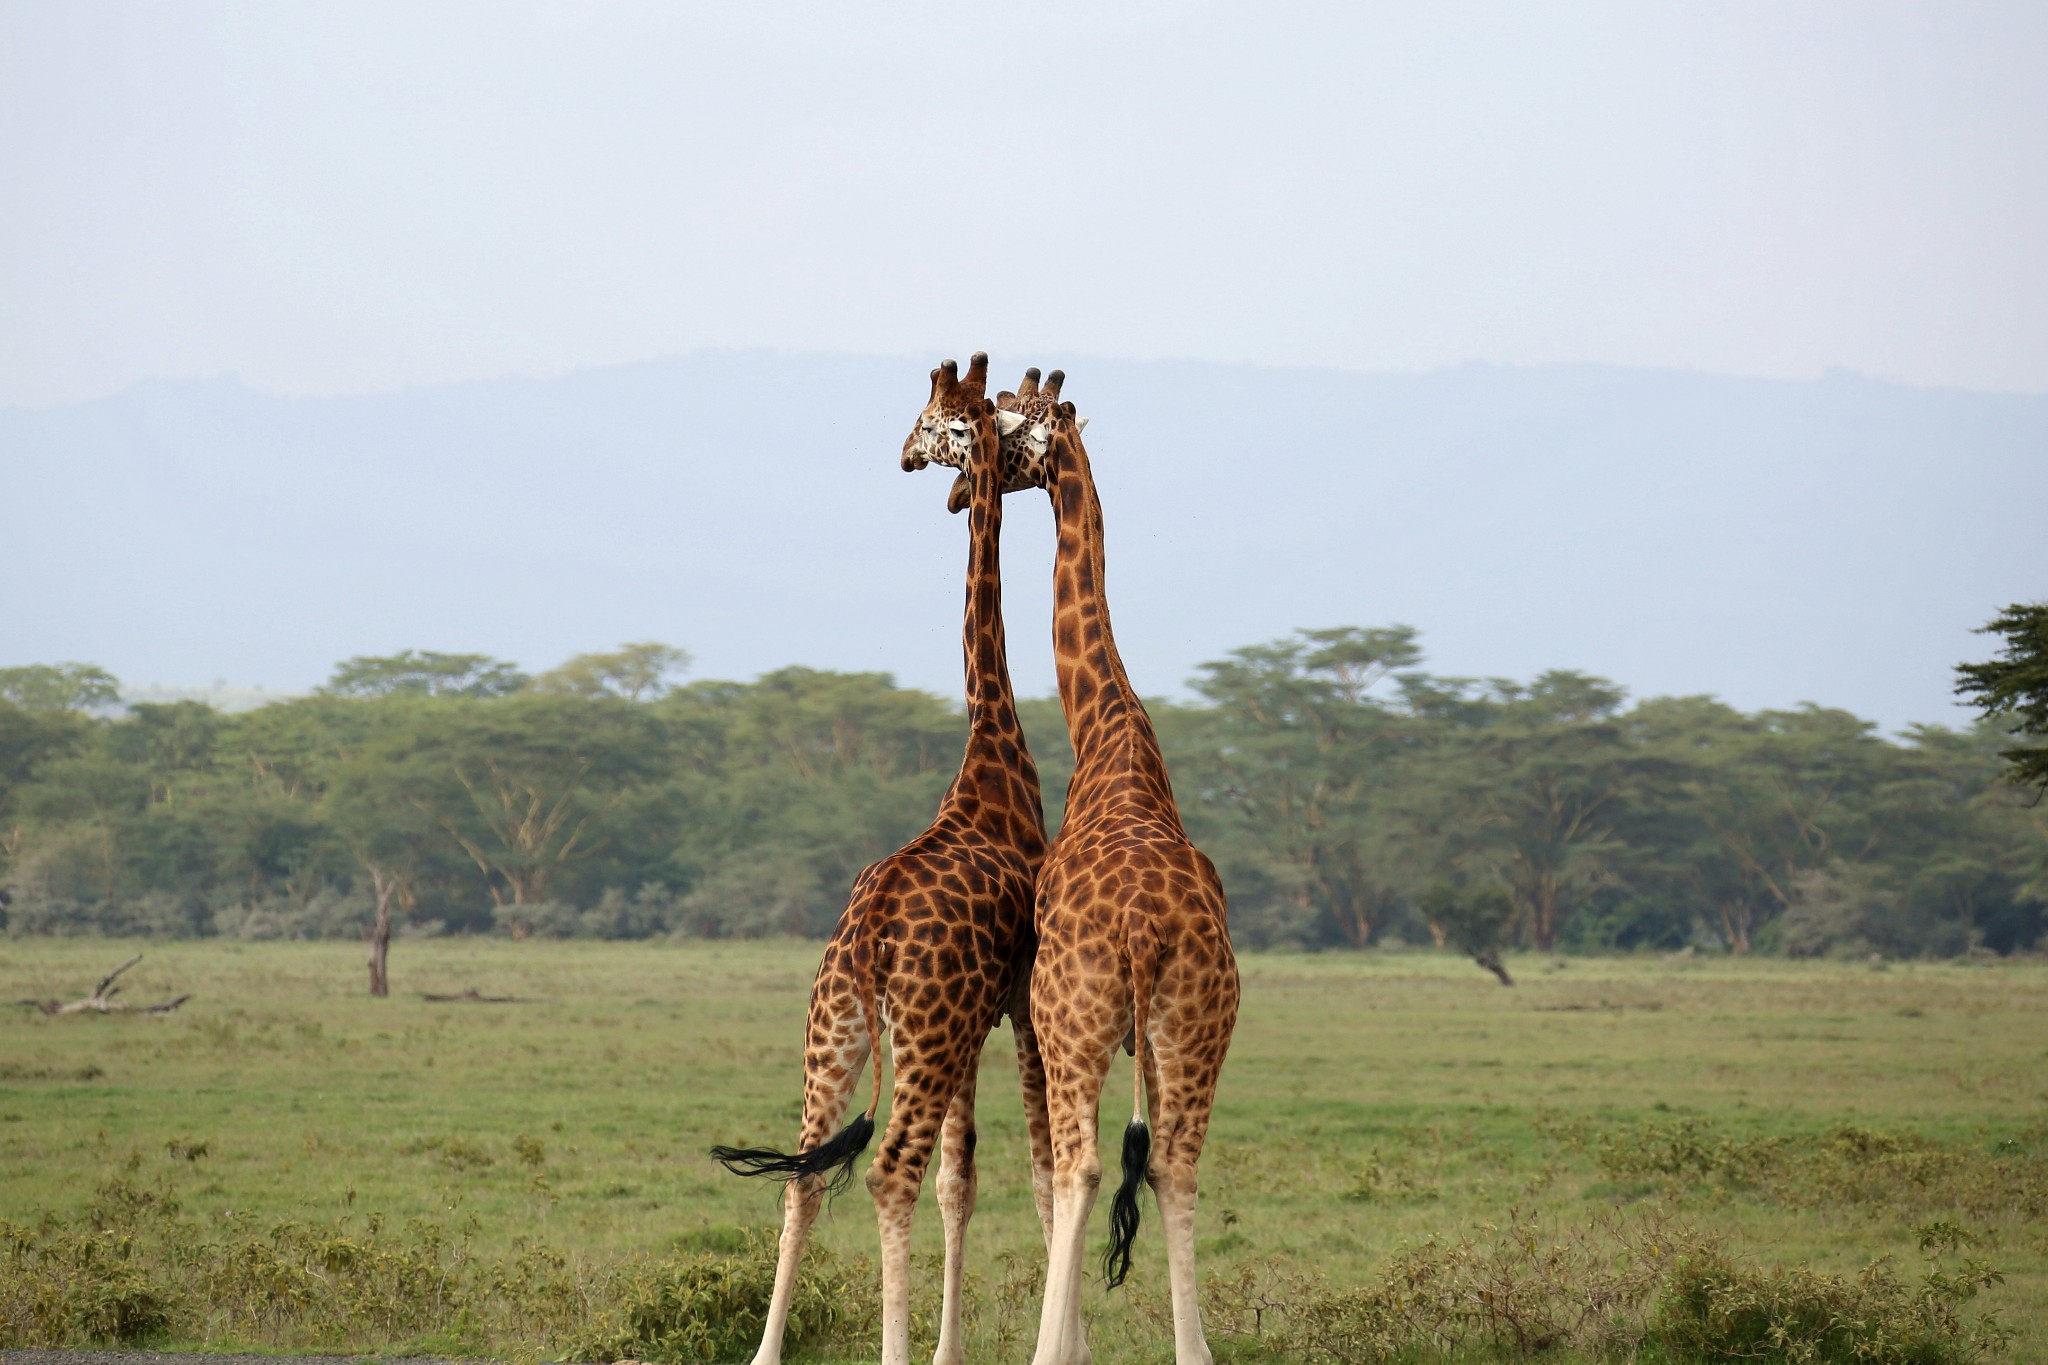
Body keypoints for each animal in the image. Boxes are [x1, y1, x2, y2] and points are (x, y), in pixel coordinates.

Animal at [708, 356, 1048, 1365]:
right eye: (998, 427)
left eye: (932, 423)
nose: (906, 460)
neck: (993, 758)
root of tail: (866, 937)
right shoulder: (1015, 1002)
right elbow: (994, 1171)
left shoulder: (969, 1023)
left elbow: (959, 1178)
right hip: (921, 1031)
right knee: (889, 1169)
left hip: (837, 1030)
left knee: (804, 1173)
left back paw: (765, 1352)